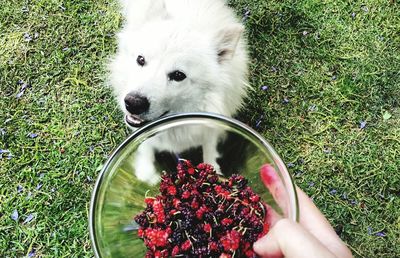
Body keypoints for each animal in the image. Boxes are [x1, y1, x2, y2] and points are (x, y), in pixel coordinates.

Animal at [108, 0, 247, 183]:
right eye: (140, 59)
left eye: (178, 75)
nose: (133, 103)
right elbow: (144, 141)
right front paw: (146, 171)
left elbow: (210, 143)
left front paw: (213, 169)